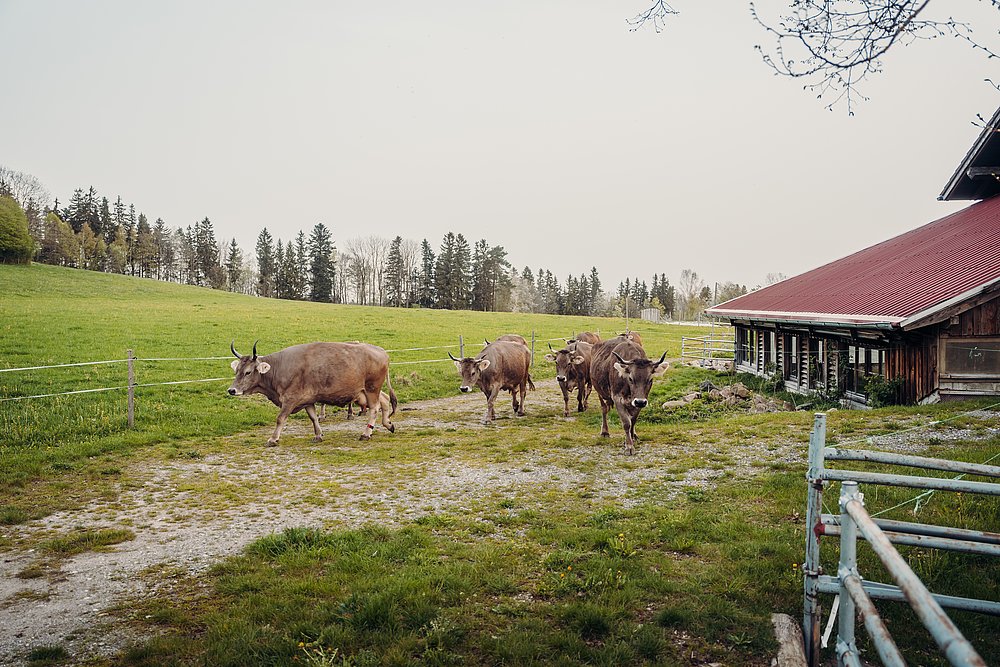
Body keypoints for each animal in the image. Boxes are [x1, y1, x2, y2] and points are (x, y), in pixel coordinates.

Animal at [229, 342, 396, 446]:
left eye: (248, 372)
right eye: (236, 370)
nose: (231, 390)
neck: (280, 368)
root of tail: (381, 351)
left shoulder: (290, 399)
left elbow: (280, 419)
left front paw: (273, 439)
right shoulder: (307, 400)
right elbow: (313, 418)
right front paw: (318, 435)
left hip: (371, 388)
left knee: (374, 408)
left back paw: (366, 433)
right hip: (366, 391)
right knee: (385, 400)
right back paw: (388, 424)